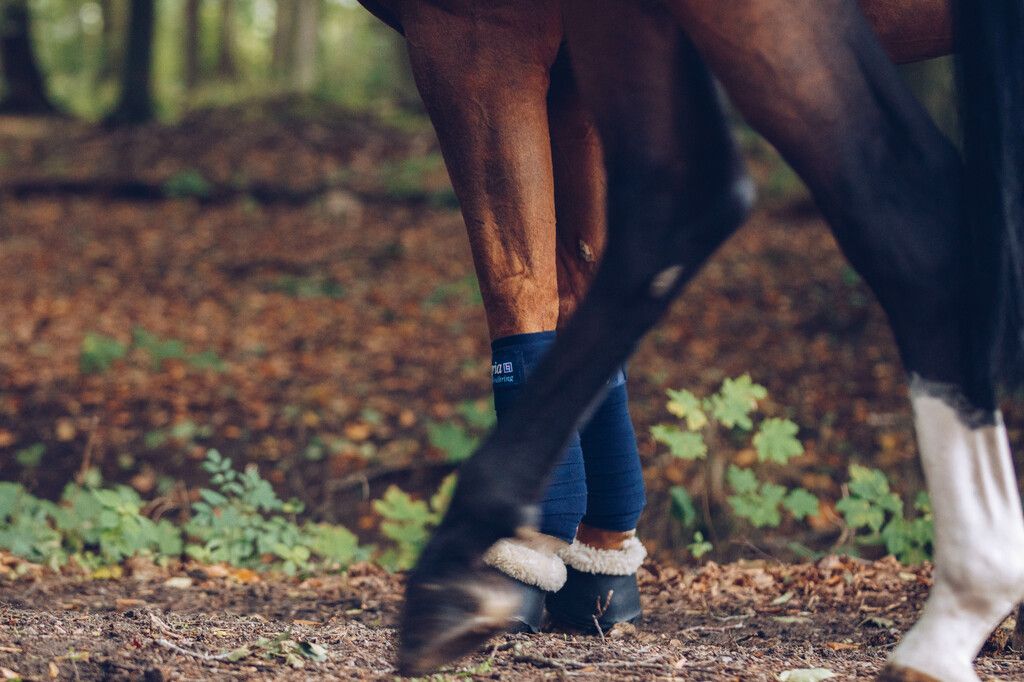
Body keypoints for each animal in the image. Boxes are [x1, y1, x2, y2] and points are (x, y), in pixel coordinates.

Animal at [360, 0, 1024, 680]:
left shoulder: (474, 31)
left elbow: (520, 290)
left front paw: (509, 562)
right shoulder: (568, 76)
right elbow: (573, 286)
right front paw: (600, 563)